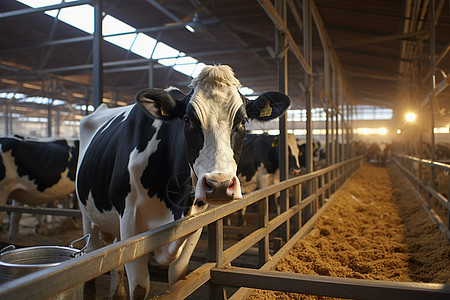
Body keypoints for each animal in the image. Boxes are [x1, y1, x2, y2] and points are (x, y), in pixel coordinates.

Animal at [75, 64, 290, 298]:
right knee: (90, 259)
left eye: (242, 121)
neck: (174, 203)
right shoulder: (130, 222)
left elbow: (178, 279)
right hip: (87, 216)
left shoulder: (194, 222)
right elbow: (140, 286)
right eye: (188, 120)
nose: (220, 185)